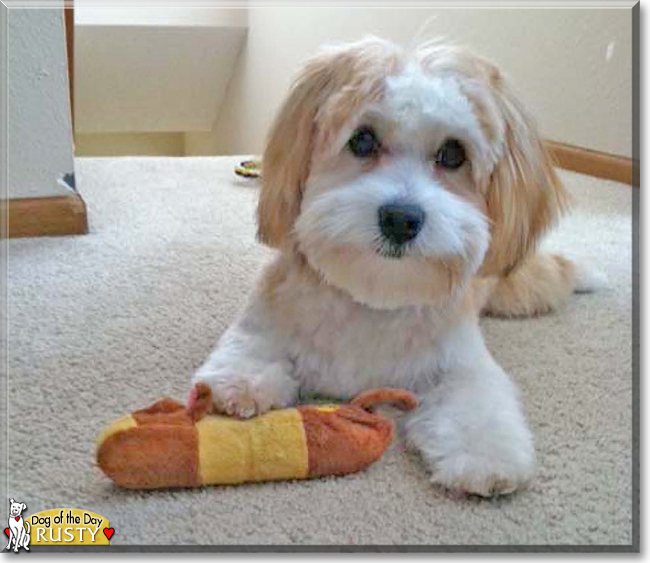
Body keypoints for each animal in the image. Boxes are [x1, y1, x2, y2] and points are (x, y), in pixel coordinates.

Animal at [190, 38, 596, 498]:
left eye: (452, 154)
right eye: (363, 140)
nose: (401, 219)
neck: (374, 297)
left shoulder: (461, 360)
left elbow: (476, 403)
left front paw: (484, 456)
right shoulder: (268, 312)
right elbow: (248, 347)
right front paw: (240, 384)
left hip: (517, 289)